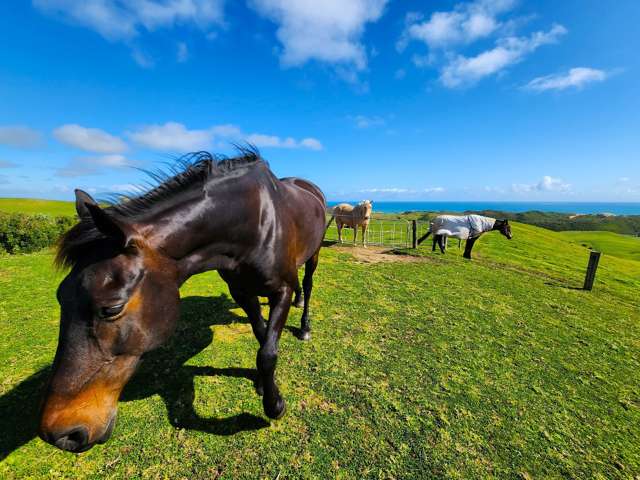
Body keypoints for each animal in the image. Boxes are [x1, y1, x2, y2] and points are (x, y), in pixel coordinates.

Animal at [38, 150, 324, 454]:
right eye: (60, 296)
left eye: (112, 308)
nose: (61, 434)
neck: (254, 225)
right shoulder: (241, 291)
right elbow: (261, 335)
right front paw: (262, 383)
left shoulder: (281, 290)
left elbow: (268, 353)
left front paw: (274, 405)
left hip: (314, 254)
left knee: (307, 284)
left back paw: (304, 325)